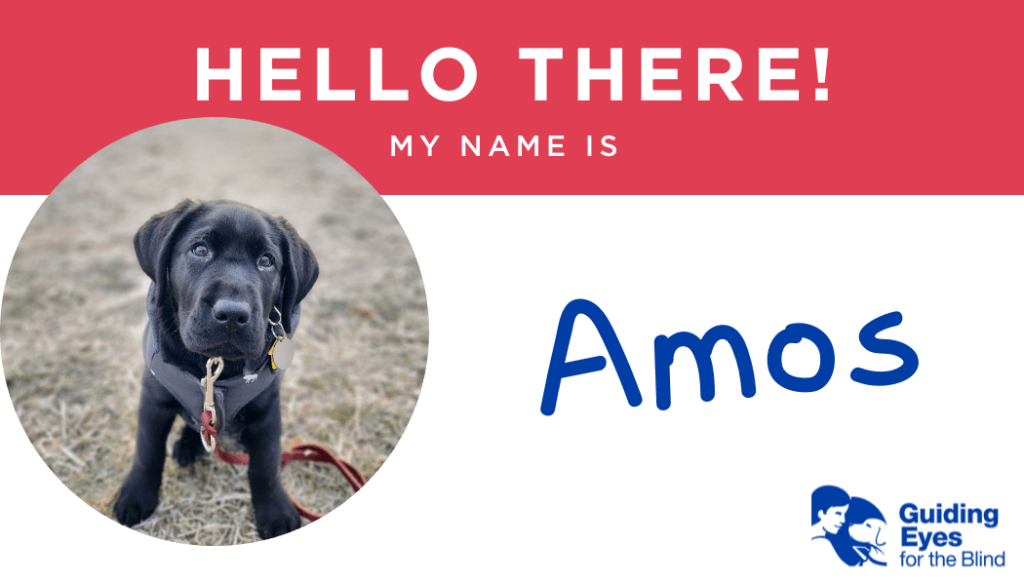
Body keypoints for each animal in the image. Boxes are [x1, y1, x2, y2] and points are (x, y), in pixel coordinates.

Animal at [114, 200, 317, 540]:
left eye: (267, 261)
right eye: (200, 249)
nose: (233, 314)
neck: (215, 367)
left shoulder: (267, 412)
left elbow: (266, 463)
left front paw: (274, 510)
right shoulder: (154, 399)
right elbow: (147, 450)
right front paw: (136, 496)